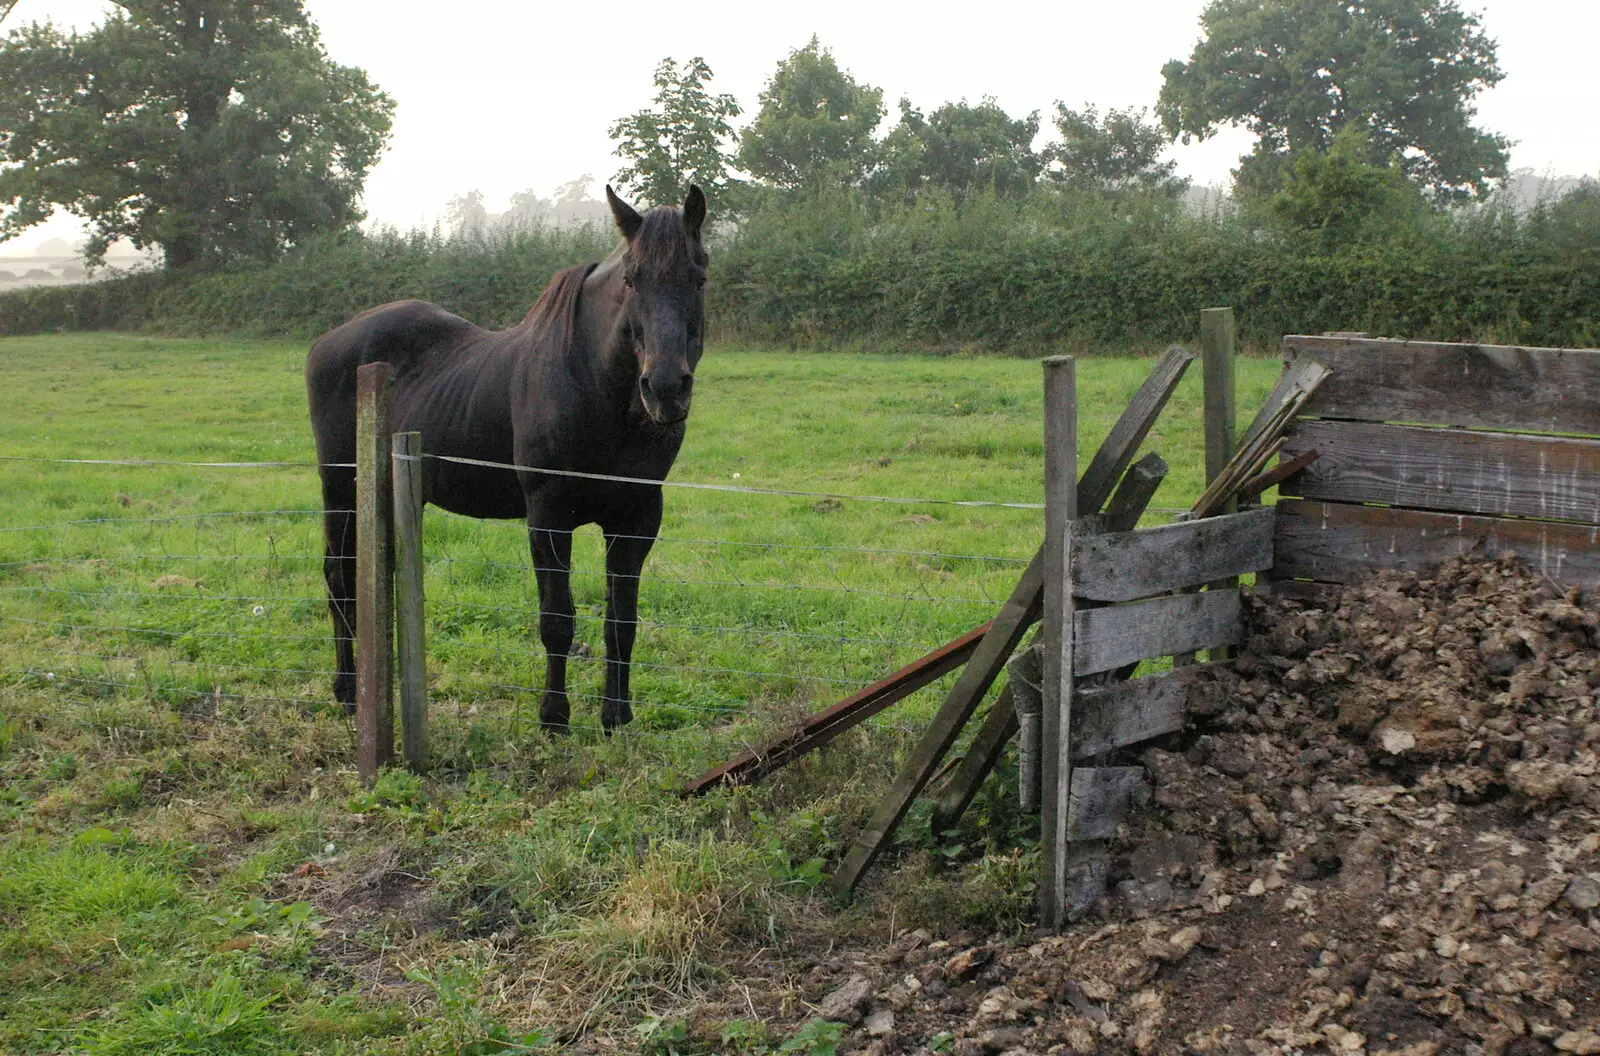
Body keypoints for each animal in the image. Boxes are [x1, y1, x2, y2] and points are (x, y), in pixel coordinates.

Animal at [308, 185, 710, 729]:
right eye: (631, 279)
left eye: (699, 276)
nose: (666, 388)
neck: (595, 385)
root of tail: (329, 341)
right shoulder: (548, 514)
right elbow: (557, 620)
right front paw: (553, 717)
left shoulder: (637, 517)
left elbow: (621, 621)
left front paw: (615, 716)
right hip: (341, 489)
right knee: (339, 579)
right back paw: (348, 690)